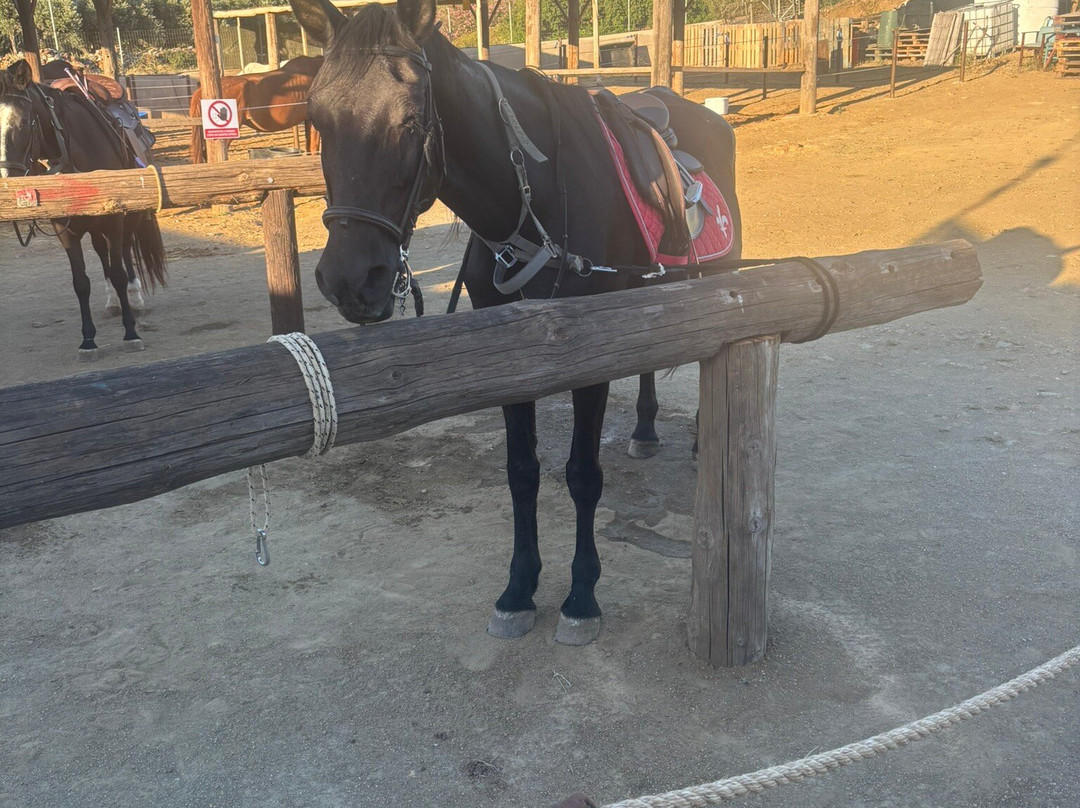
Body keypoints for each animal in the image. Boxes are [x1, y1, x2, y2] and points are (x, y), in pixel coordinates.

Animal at [1, 59, 168, 355]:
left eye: (23, 122)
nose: (6, 183)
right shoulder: (67, 231)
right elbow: (81, 283)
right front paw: (88, 340)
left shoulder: (114, 221)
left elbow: (119, 272)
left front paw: (130, 332)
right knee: (102, 253)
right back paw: (113, 301)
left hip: (130, 217)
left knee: (125, 250)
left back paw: (134, 299)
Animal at [288, 0, 742, 645]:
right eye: (319, 121)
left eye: (409, 123)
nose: (350, 278)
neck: (537, 201)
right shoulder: (507, 351)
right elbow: (522, 472)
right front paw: (519, 588)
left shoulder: (588, 353)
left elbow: (582, 474)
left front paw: (581, 596)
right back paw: (645, 428)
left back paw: (704, 439)